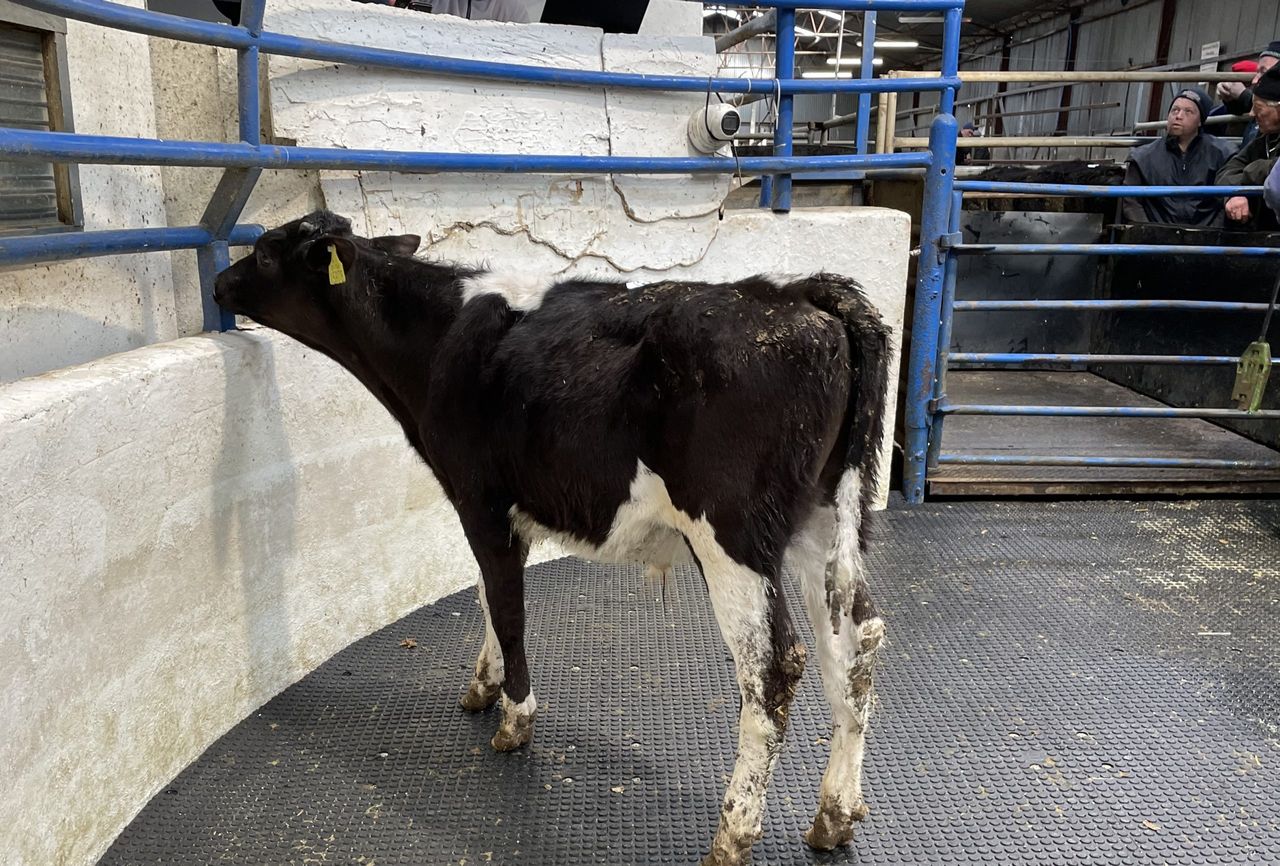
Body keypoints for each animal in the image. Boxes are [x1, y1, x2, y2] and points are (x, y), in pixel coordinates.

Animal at [213, 210, 891, 865]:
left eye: (266, 253)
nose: (220, 284)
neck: (439, 337)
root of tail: (798, 291)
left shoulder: (480, 501)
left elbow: (508, 609)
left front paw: (515, 720)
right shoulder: (495, 511)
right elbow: (487, 596)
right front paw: (483, 686)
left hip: (734, 537)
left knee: (772, 669)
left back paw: (733, 835)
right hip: (823, 522)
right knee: (856, 645)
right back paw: (834, 816)